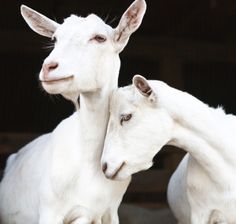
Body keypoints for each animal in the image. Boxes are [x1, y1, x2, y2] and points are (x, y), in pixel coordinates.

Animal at [0, 1, 147, 224]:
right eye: (54, 38)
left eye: (99, 38)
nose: (49, 67)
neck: (90, 161)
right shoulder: (50, 210)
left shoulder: (109, 211)